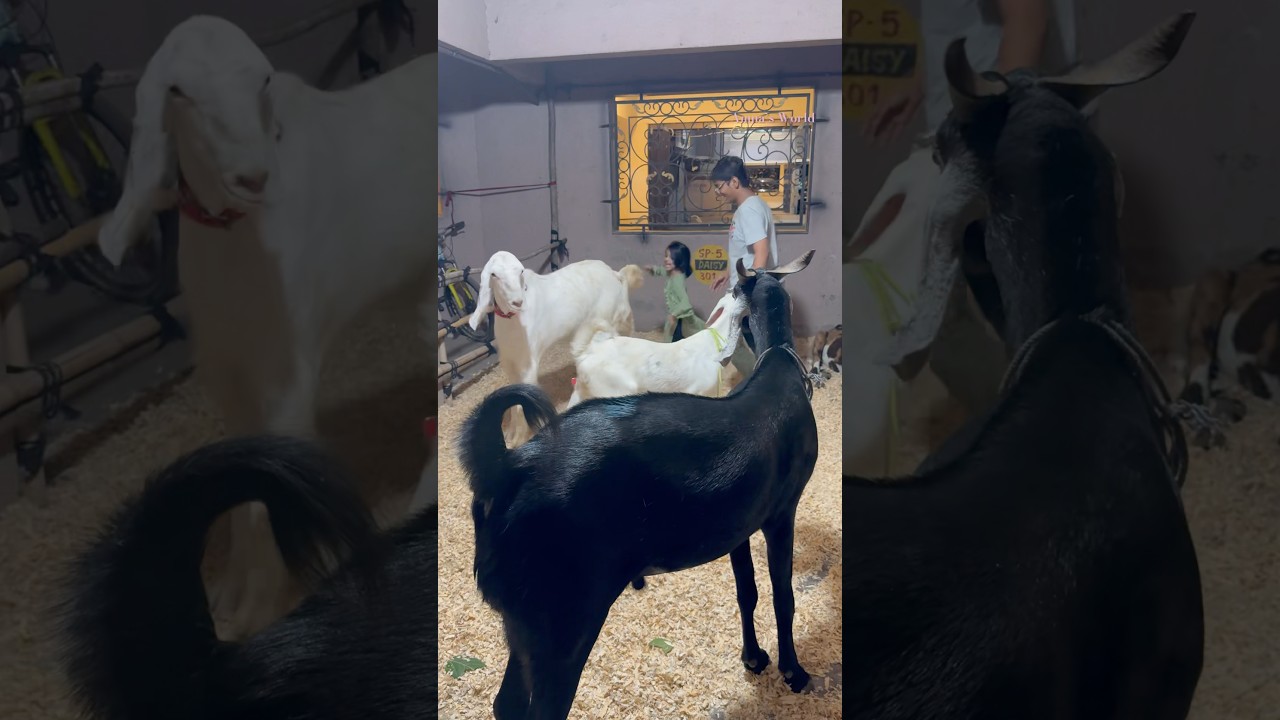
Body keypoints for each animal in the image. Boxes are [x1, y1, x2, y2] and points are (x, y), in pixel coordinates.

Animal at [95, 16, 434, 641]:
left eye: (264, 79)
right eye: (178, 91)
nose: (253, 177)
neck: (236, 243)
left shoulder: (290, 377)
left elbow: (263, 498)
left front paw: (253, 612)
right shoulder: (226, 370)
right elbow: (238, 482)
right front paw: (228, 597)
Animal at [467, 250, 644, 445]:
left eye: (520, 271)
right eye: (494, 275)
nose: (518, 302)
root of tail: (616, 274)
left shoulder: (529, 364)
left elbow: (521, 403)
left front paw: (518, 440)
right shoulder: (509, 363)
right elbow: (513, 402)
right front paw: (510, 436)